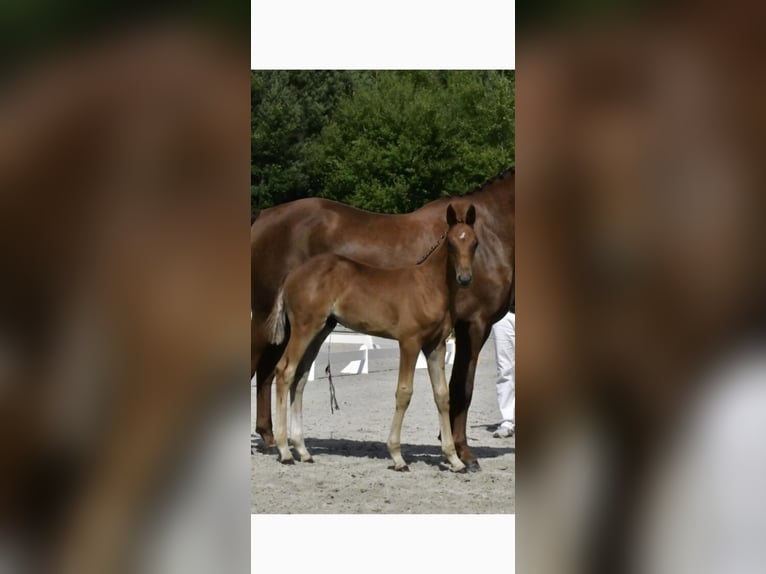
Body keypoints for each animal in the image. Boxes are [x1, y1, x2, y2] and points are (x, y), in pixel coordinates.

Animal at [251, 169, 514, 471]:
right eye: (450, 243)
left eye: (475, 242)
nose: (465, 278)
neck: (428, 284)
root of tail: (293, 274)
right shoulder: (420, 339)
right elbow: (410, 391)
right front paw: (401, 456)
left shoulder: (436, 345)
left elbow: (442, 394)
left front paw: (454, 458)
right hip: (294, 325)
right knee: (283, 372)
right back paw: (284, 450)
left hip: (318, 330)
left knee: (297, 377)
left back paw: (300, 449)